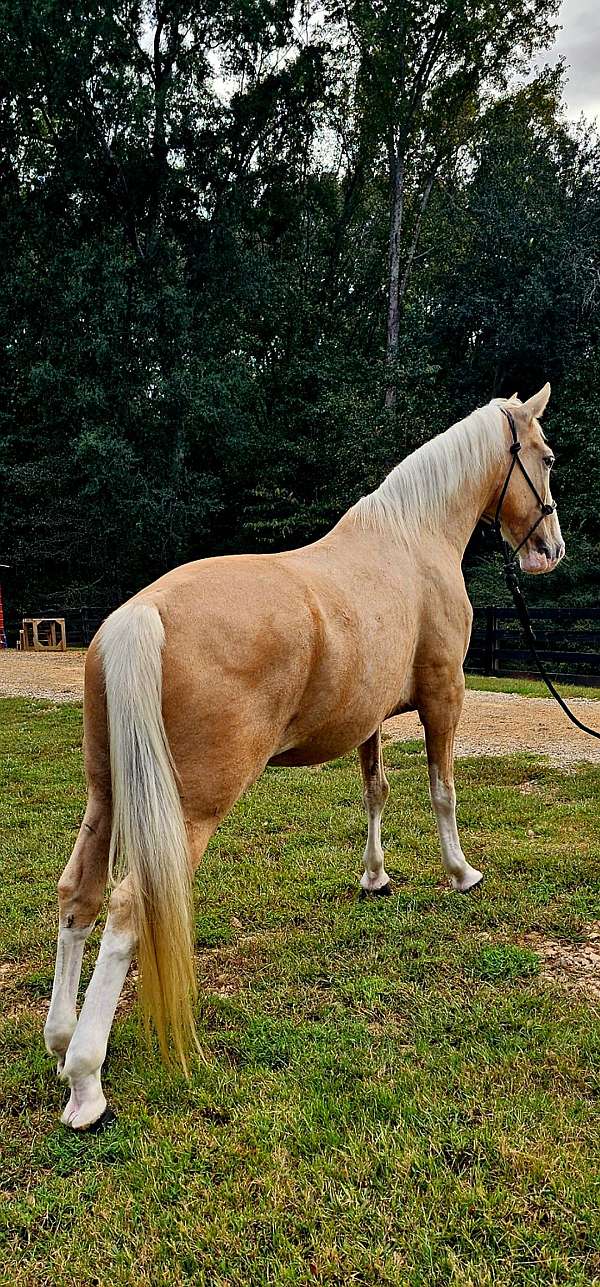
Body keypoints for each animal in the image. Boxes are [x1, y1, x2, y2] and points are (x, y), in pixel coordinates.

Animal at [44, 384, 564, 1129]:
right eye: (545, 457)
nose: (550, 550)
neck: (412, 541)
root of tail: (141, 615)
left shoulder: (372, 718)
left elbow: (376, 791)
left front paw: (375, 877)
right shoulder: (445, 697)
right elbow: (442, 790)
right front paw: (461, 873)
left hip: (107, 794)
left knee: (78, 893)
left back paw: (61, 1041)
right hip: (188, 811)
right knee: (126, 908)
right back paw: (86, 1083)